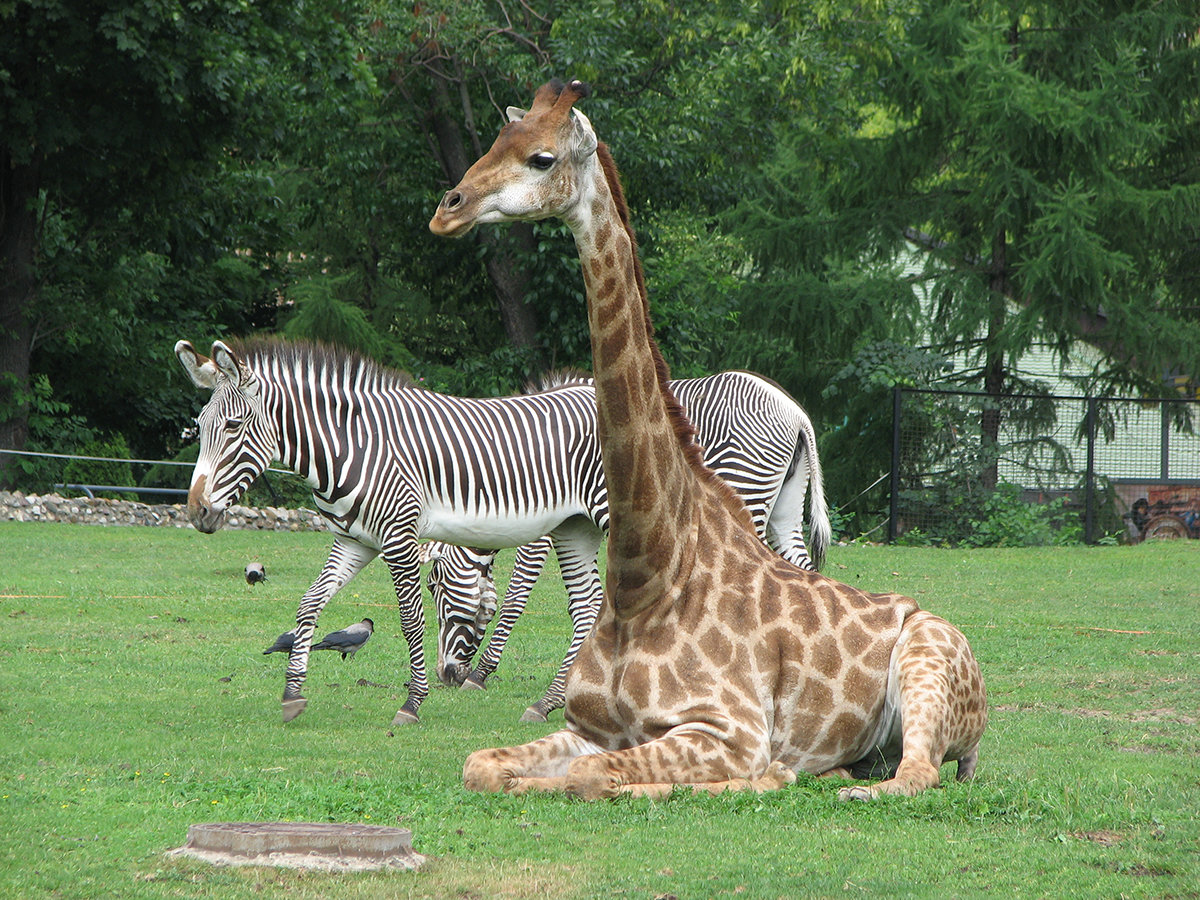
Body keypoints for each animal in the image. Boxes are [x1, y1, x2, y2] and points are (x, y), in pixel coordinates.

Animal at [427, 369, 830, 724]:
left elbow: (517, 593)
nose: (445, 675)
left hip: (746, 487)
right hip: (785, 508)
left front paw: (481, 674)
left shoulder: (545, 520)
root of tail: (795, 413)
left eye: (435, 587)